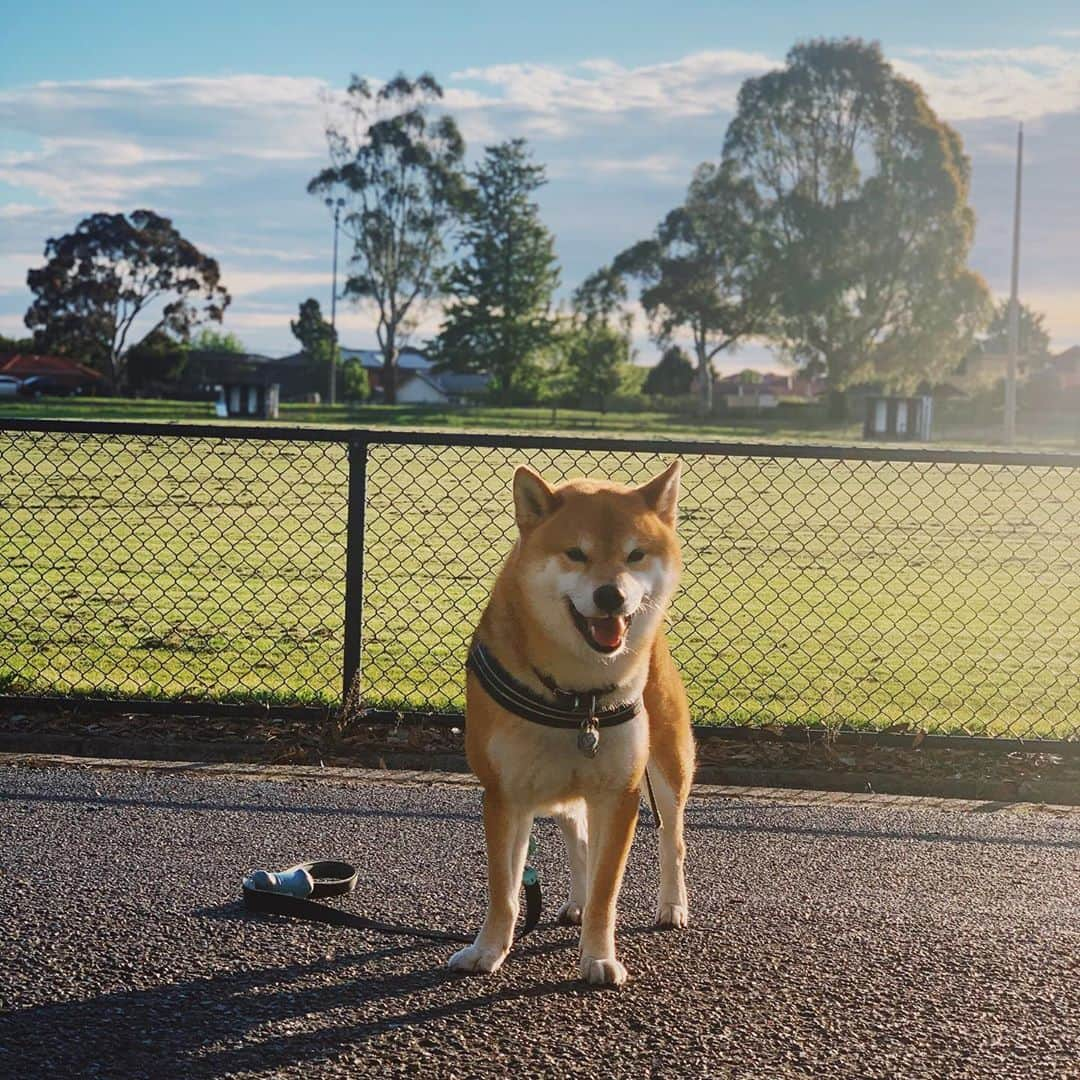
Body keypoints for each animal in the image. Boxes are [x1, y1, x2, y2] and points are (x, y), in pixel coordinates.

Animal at [449, 460, 695, 984]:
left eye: (635, 554)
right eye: (576, 554)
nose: (611, 595)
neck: (578, 699)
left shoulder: (620, 795)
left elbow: (608, 890)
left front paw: (598, 956)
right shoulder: (505, 795)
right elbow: (504, 891)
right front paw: (488, 951)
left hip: (668, 768)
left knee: (672, 839)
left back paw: (672, 906)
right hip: (564, 791)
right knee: (579, 841)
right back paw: (576, 902)